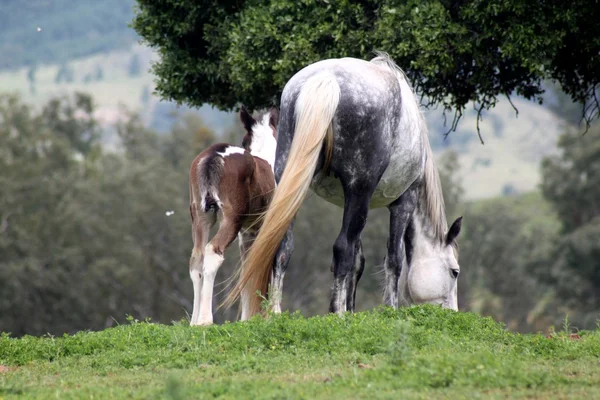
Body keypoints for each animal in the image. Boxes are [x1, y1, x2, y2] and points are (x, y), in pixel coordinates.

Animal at [188, 106, 278, 324]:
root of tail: (214, 154)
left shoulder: (247, 233)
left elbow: (248, 268)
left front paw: (247, 318)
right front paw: (273, 315)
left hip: (201, 217)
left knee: (197, 257)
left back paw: (193, 321)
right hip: (231, 219)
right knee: (212, 252)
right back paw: (204, 320)